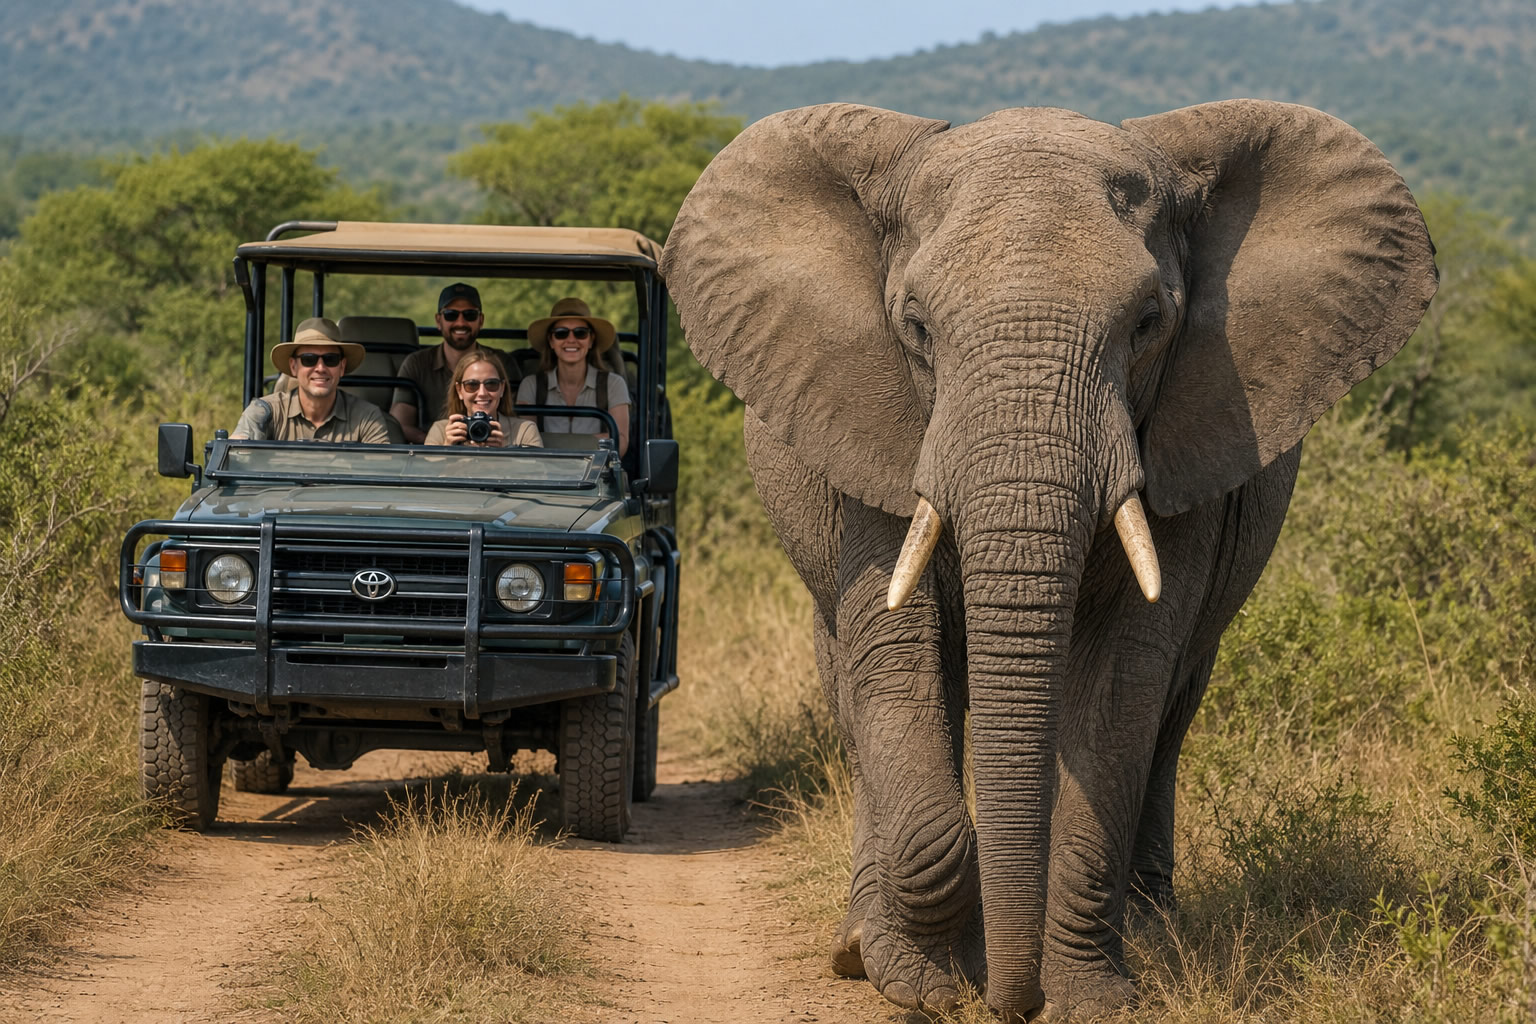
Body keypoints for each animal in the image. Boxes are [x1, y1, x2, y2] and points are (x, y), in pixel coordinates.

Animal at [659, 100, 1436, 1020]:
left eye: (1148, 326)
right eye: (916, 329)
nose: (1009, 1001)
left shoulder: (1186, 441)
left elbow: (1123, 684)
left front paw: (1084, 997)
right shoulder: (880, 435)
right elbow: (897, 660)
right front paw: (925, 982)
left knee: (1172, 708)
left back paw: (1152, 937)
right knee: (853, 690)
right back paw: (860, 948)